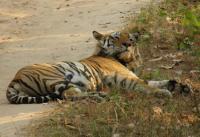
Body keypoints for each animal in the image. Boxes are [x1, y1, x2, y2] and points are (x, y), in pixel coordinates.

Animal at [6, 30, 184, 104]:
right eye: (116, 37)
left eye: (130, 37)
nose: (128, 43)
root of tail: (14, 79)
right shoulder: (124, 77)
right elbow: (145, 85)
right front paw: (163, 92)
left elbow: (152, 81)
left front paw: (178, 86)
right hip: (56, 77)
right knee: (69, 95)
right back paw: (99, 97)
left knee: (73, 94)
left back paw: (100, 95)